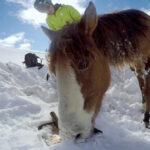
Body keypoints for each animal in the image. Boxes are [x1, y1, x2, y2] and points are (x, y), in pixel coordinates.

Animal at [41, 1, 150, 139]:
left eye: (83, 64)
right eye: (54, 71)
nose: (70, 133)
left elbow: (147, 90)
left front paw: (146, 120)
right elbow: (143, 88)